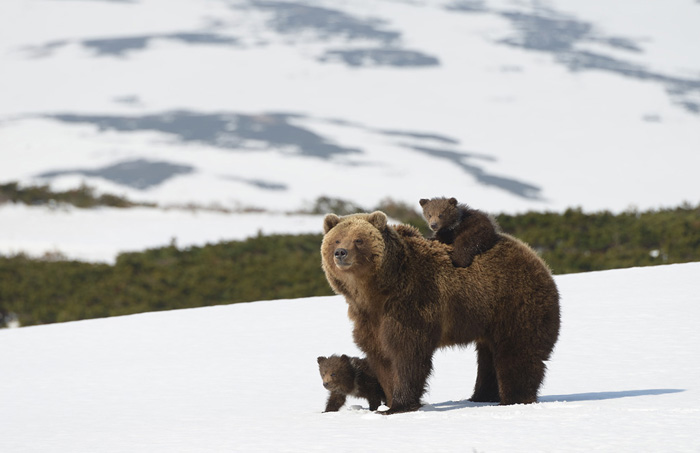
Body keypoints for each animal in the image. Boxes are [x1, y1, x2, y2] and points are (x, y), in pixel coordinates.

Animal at [322, 211, 556, 414]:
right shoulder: (369, 319)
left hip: (513, 302)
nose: (340, 253)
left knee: (517, 352)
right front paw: (387, 401)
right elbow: (382, 357)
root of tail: (534, 256)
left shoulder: (411, 304)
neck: (375, 292)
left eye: (358, 240)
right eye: (336, 239)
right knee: (488, 357)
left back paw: (513, 399)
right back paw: (482, 396)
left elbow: (407, 354)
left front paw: (399, 405)